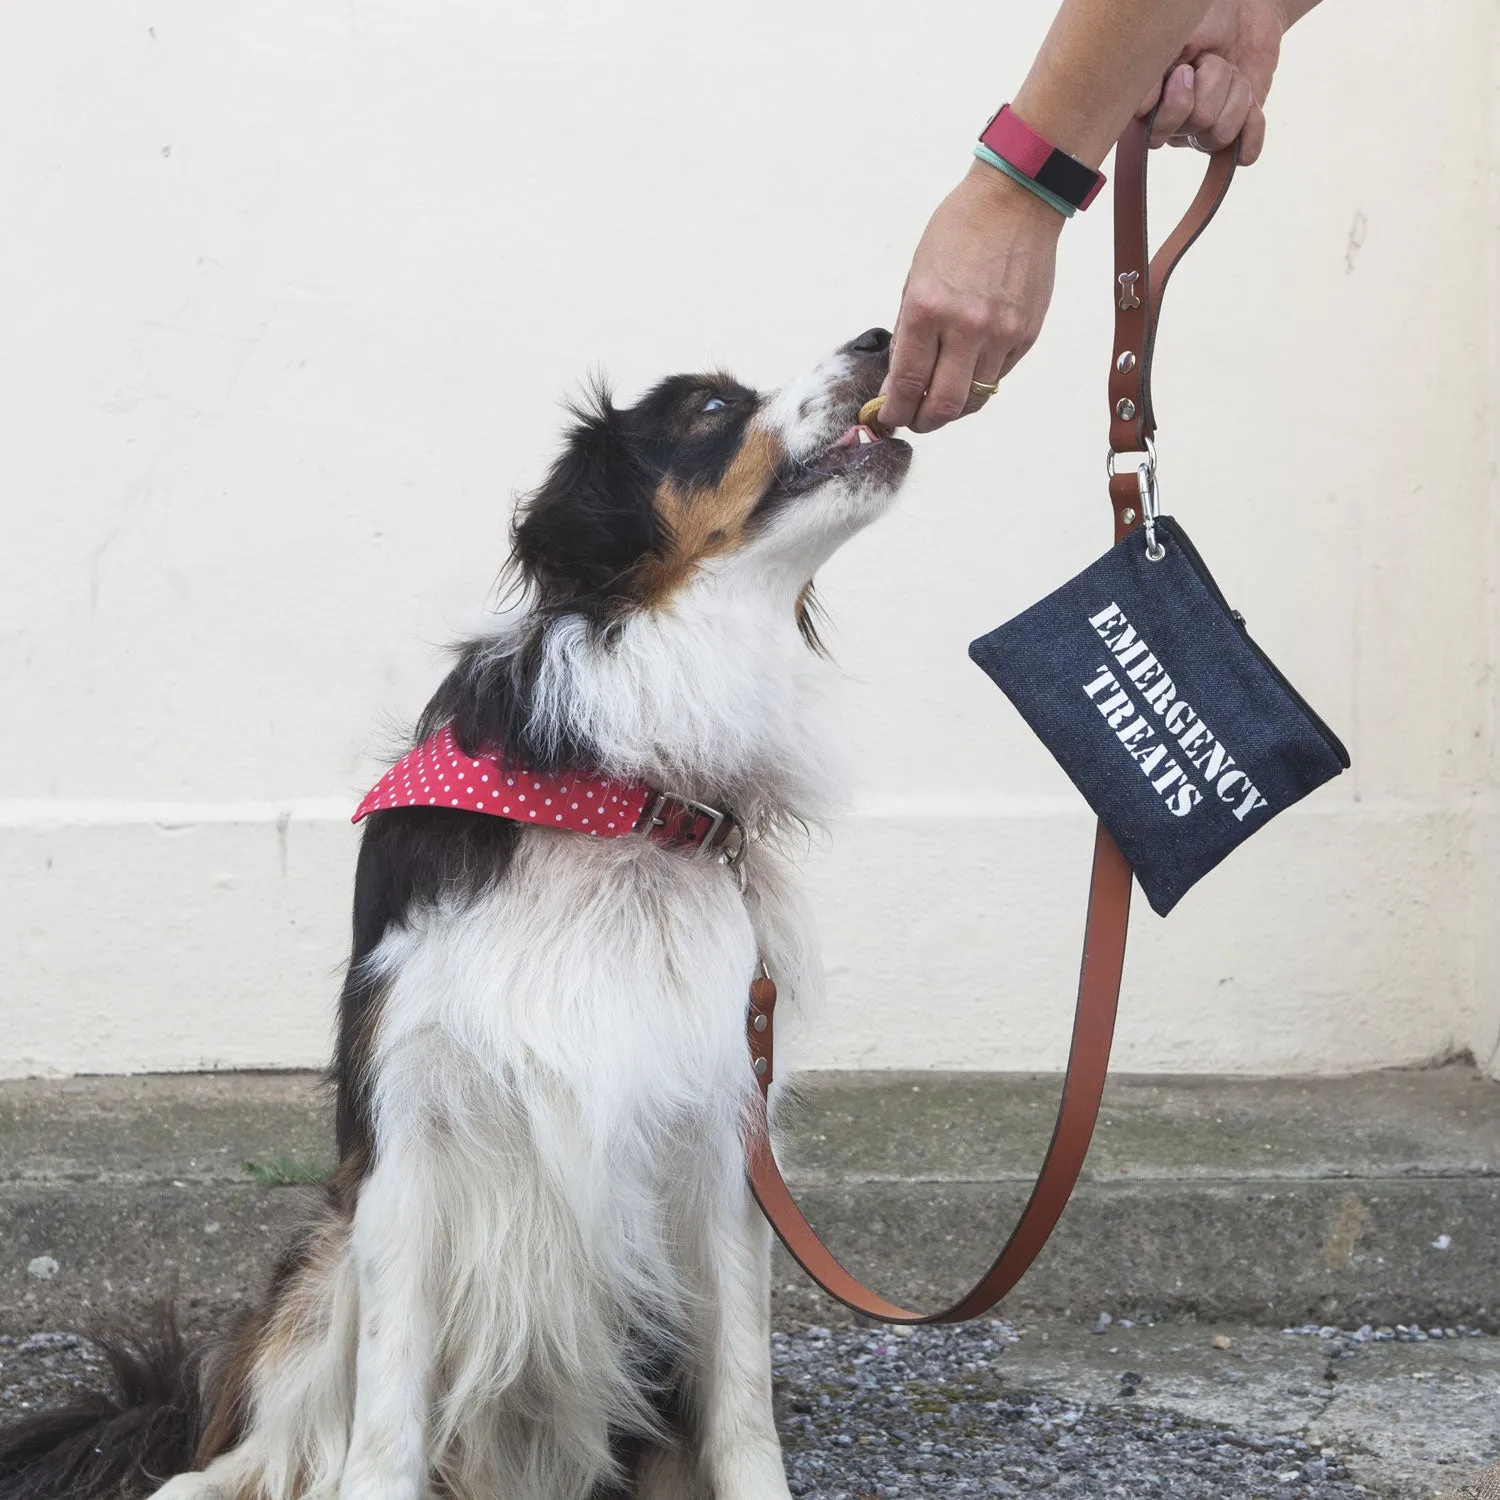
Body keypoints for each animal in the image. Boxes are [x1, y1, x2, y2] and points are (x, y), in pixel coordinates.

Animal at [0, 325, 906, 1500]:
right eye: (709, 407)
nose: (879, 337)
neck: (621, 792)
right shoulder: (408, 1135)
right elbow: (384, 1410)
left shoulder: (724, 1136)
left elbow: (744, 1398)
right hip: (319, 1260)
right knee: (256, 1449)